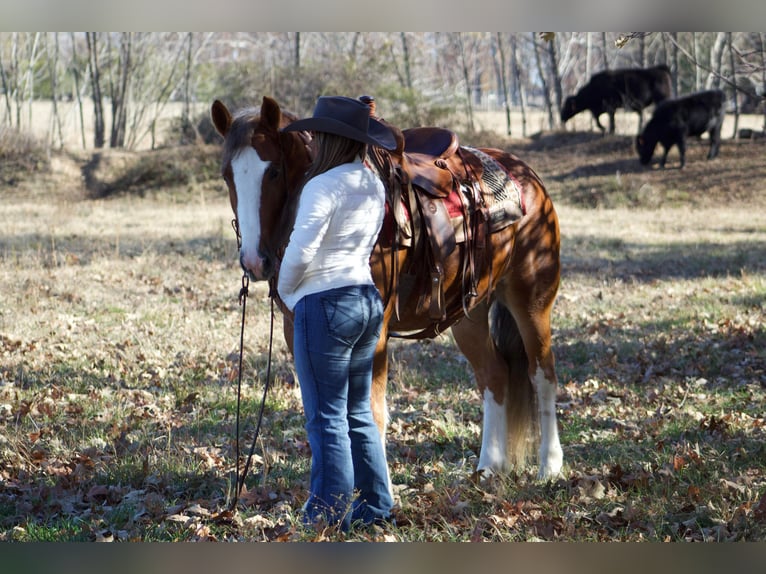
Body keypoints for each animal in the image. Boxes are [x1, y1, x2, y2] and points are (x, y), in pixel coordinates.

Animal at [210, 97, 564, 484]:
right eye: (227, 175)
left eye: (273, 171)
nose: (254, 261)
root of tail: (526, 176)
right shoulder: (297, 331)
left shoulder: (376, 333)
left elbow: (372, 412)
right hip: (469, 313)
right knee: (495, 375)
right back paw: (488, 467)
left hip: (531, 302)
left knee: (542, 374)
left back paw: (549, 466)